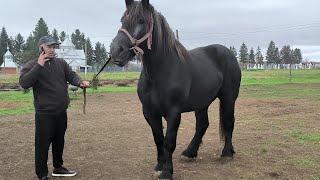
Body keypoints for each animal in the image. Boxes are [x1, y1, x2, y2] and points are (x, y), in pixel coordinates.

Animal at [109, 0, 240, 179]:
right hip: (201, 103)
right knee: (202, 124)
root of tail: (228, 53)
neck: (160, 72)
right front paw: (159, 166)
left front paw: (167, 172)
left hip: (228, 98)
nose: (116, 50)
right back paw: (190, 153)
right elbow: (158, 139)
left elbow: (169, 141)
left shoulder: (174, 112)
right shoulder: (149, 112)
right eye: (122, 20)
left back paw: (226, 153)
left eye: (141, 20)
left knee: (228, 122)